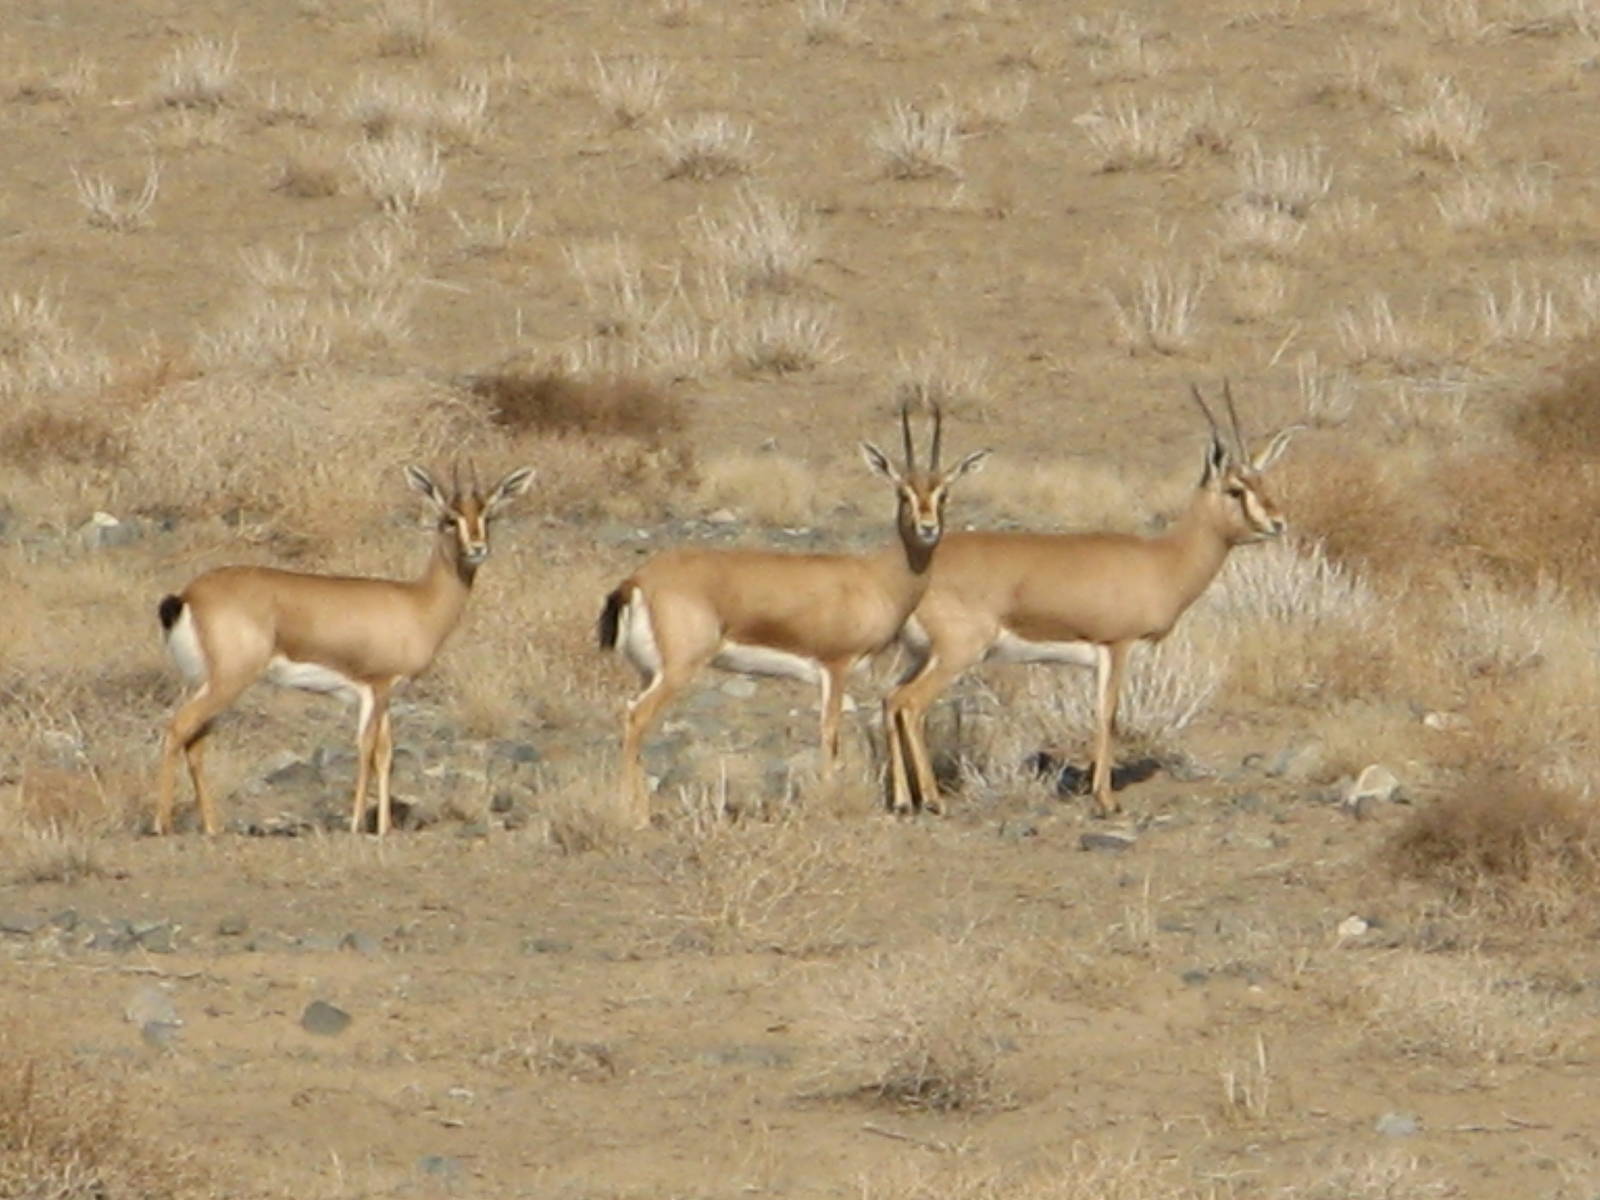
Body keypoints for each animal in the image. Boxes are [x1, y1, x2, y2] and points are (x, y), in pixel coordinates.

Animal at [154, 463, 535, 837]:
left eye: (488, 515)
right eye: (450, 518)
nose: (477, 549)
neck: (418, 603)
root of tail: (187, 595)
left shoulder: (386, 695)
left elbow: (385, 753)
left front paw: (382, 828)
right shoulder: (376, 686)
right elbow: (366, 748)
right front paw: (355, 824)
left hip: (208, 682)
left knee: (195, 741)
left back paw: (211, 827)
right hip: (228, 681)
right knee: (177, 727)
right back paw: (162, 824)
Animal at [598, 405, 988, 829]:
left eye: (943, 493)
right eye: (903, 493)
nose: (928, 528)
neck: (877, 578)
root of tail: (638, 580)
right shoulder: (836, 667)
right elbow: (830, 732)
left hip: (648, 672)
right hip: (677, 671)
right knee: (636, 717)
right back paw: (635, 816)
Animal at [884, 383, 1298, 819]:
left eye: (1263, 483)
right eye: (1235, 490)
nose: (1278, 523)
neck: (1161, 561)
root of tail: (909, 567)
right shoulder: (1117, 647)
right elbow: (1108, 714)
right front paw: (1106, 799)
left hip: (922, 655)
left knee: (890, 698)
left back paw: (902, 802)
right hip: (957, 654)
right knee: (910, 704)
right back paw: (932, 801)